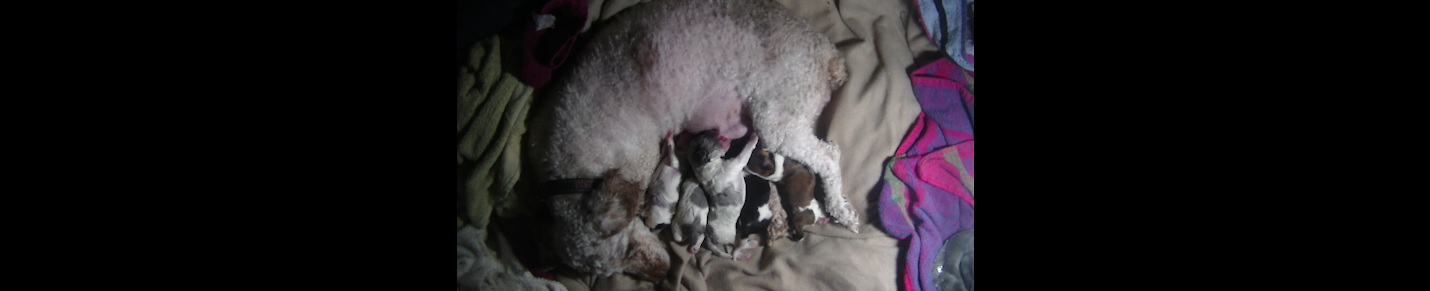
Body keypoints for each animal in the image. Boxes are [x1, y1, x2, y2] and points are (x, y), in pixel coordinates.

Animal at [529, 0, 852, 279]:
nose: (662, 273)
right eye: (612, 274)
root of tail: (829, 55)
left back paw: (842, 211)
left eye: (629, 247)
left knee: (828, 156)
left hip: (778, 115)